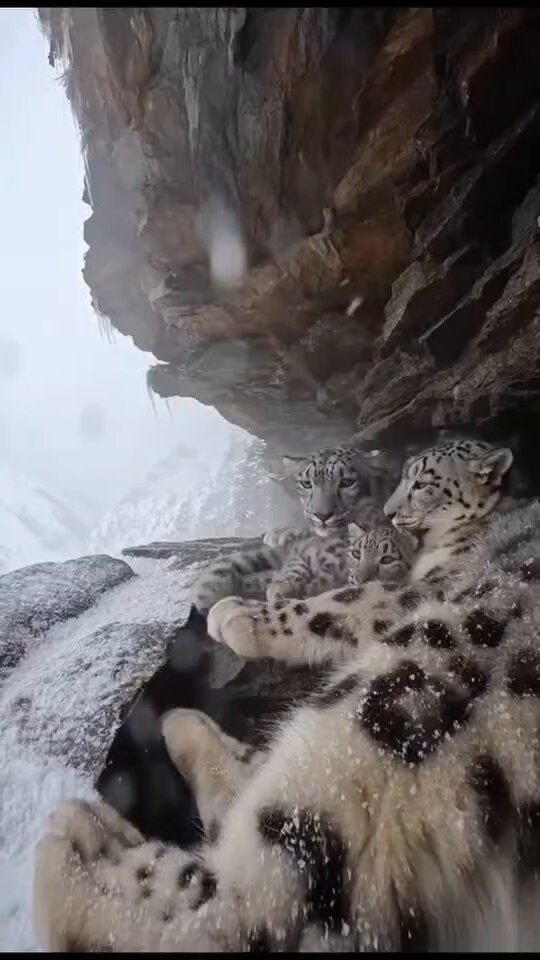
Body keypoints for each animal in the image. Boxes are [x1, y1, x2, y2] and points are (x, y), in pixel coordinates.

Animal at [33, 490, 540, 952]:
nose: (393, 510)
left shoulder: (425, 589)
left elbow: (349, 600)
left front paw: (239, 616)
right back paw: (175, 731)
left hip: (409, 691)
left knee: (257, 899)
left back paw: (78, 837)